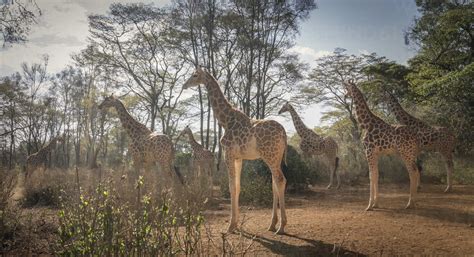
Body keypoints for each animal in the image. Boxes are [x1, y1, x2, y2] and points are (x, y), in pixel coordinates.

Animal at [182, 66, 286, 234]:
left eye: (195, 75)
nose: (184, 85)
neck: (225, 121)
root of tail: (284, 132)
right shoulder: (238, 158)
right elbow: (237, 187)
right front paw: (235, 224)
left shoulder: (228, 154)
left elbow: (231, 187)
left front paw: (230, 226)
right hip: (276, 157)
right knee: (275, 183)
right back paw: (272, 224)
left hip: (270, 155)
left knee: (280, 180)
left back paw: (281, 226)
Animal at [342, 81, 420, 209]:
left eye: (347, 88)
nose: (345, 95)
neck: (366, 124)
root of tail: (415, 137)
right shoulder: (376, 153)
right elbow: (376, 175)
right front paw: (376, 203)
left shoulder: (368, 151)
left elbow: (371, 176)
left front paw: (369, 205)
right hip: (412, 153)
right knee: (417, 171)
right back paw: (415, 202)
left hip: (405, 153)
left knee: (412, 173)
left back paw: (409, 203)